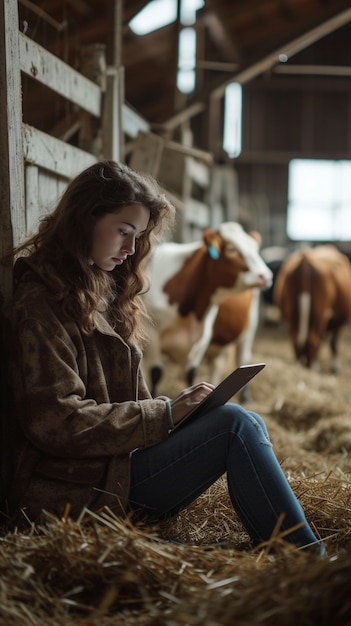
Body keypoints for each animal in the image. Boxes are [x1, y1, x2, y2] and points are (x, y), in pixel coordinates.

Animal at [143, 221, 272, 394]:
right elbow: (155, 373)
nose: (265, 276)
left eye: (255, 248)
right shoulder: (152, 334)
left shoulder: (202, 337)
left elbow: (191, 373)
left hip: (248, 329)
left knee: (240, 358)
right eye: (231, 249)